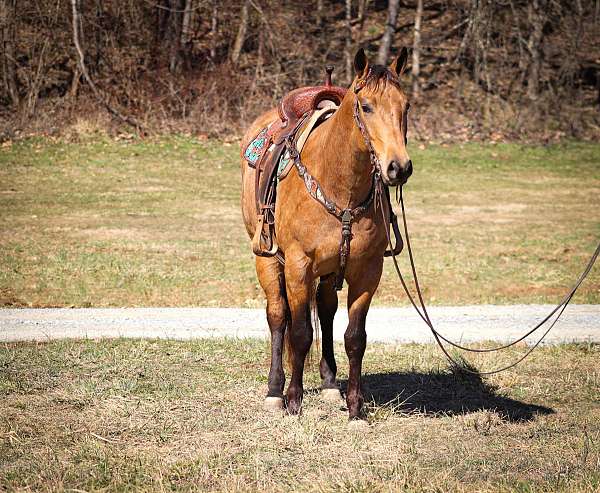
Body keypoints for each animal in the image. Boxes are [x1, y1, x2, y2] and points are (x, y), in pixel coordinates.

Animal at [239, 48, 412, 418]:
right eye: (366, 107)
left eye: (405, 106)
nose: (398, 167)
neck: (339, 184)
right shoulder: (298, 265)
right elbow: (300, 333)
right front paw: (293, 400)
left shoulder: (368, 271)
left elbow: (355, 337)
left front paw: (355, 408)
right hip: (267, 259)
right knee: (278, 316)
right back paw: (274, 390)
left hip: (332, 269)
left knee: (327, 310)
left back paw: (331, 383)